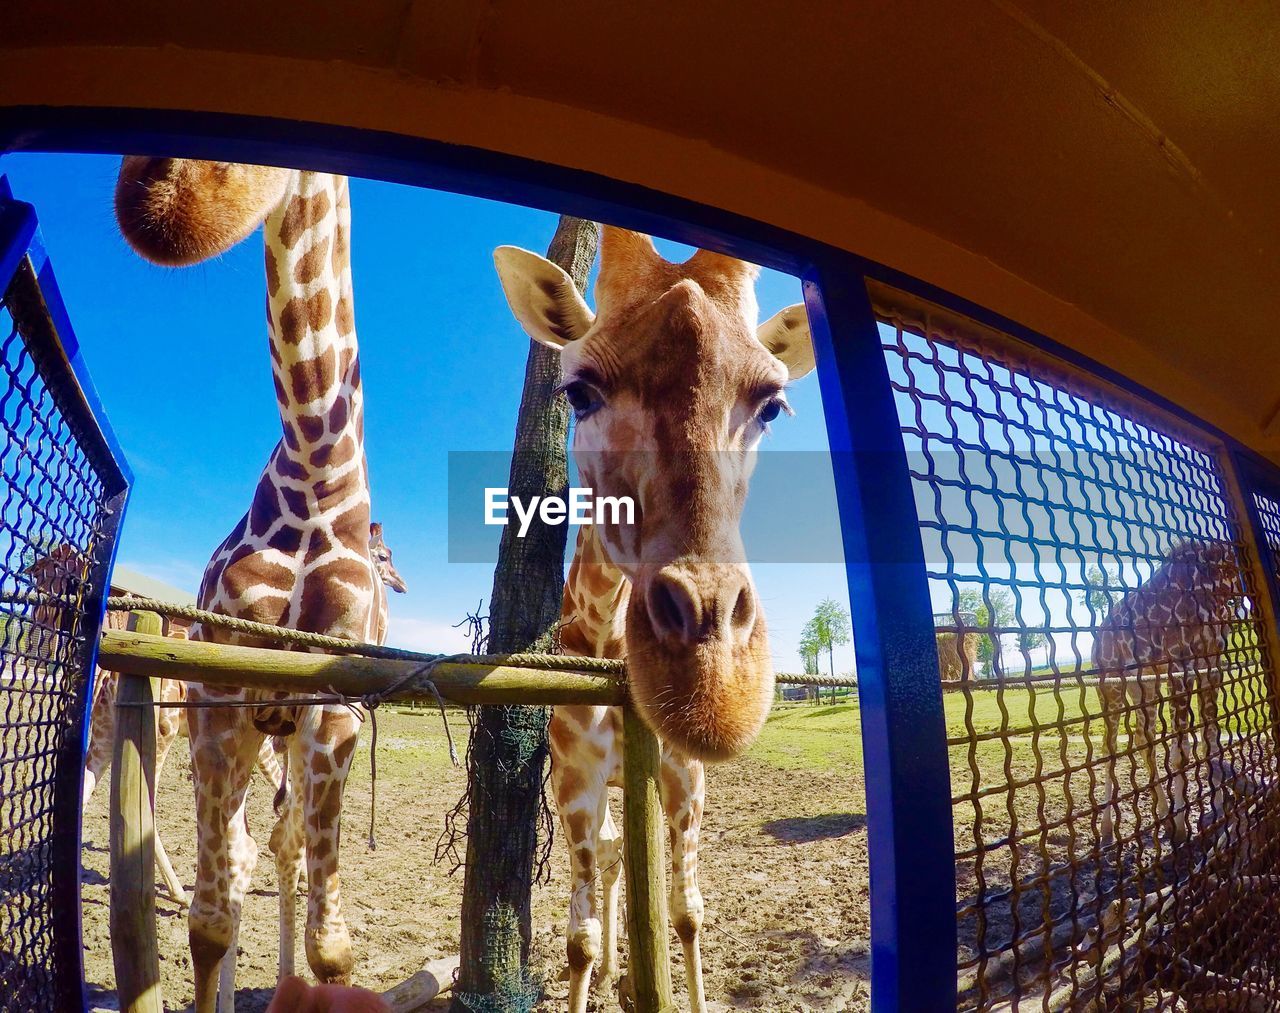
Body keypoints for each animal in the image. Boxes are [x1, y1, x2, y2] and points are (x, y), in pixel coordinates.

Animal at [117, 160, 381, 1013]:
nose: (163, 200)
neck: (315, 466)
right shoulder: (220, 692)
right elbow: (210, 917)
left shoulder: (333, 706)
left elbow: (333, 945)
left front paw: (309, 972)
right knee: (241, 856)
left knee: (284, 842)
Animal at [494, 229, 814, 1013]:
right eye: (577, 392)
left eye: (772, 405)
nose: (715, 685)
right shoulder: (575, 779)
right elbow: (577, 938)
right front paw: (600, 967)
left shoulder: (684, 772)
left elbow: (687, 911)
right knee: (611, 858)